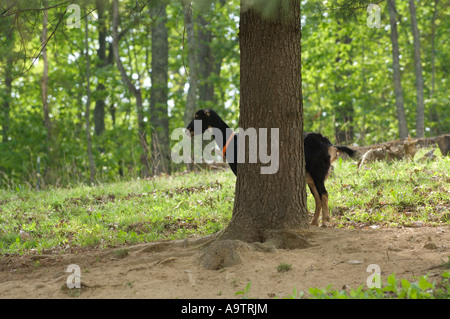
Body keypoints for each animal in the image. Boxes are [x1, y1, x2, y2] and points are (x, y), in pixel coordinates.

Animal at [186, 110, 356, 228]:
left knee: (324, 194)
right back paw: (314, 222)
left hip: (317, 172)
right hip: (310, 177)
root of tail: (329, 145)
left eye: (197, 116)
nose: (188, 131)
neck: (232, 141)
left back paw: (325, 222)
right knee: (318, 197)